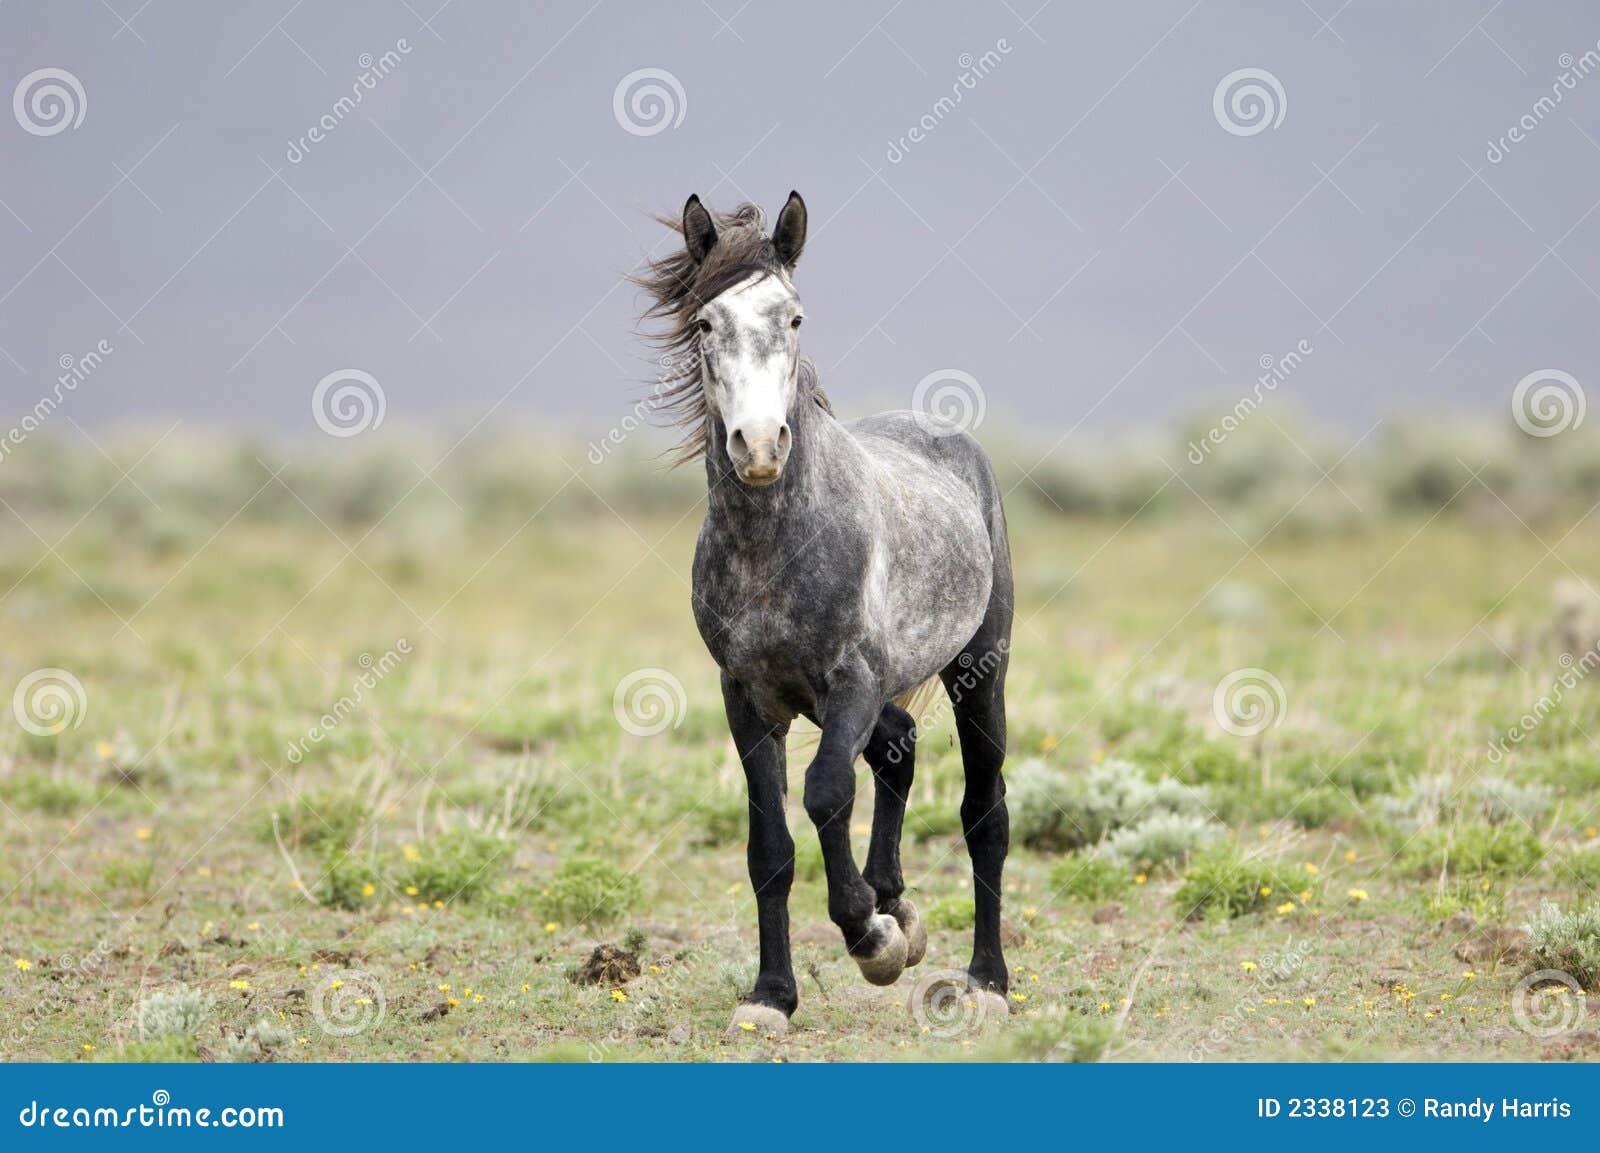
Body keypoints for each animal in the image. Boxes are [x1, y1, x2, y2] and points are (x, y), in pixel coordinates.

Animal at [635, 192, 1014, 1037]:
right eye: (704, 323)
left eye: (795, 316)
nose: (757, 444)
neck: (775, 549)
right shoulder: (749, 696)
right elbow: (769, 845)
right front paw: (771, 995)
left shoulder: (850, 681)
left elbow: (826, 792)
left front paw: (871, 939)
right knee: (899, 750)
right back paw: (899, 904)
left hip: (980, 670)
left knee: (984, 812)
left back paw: (986, 980)